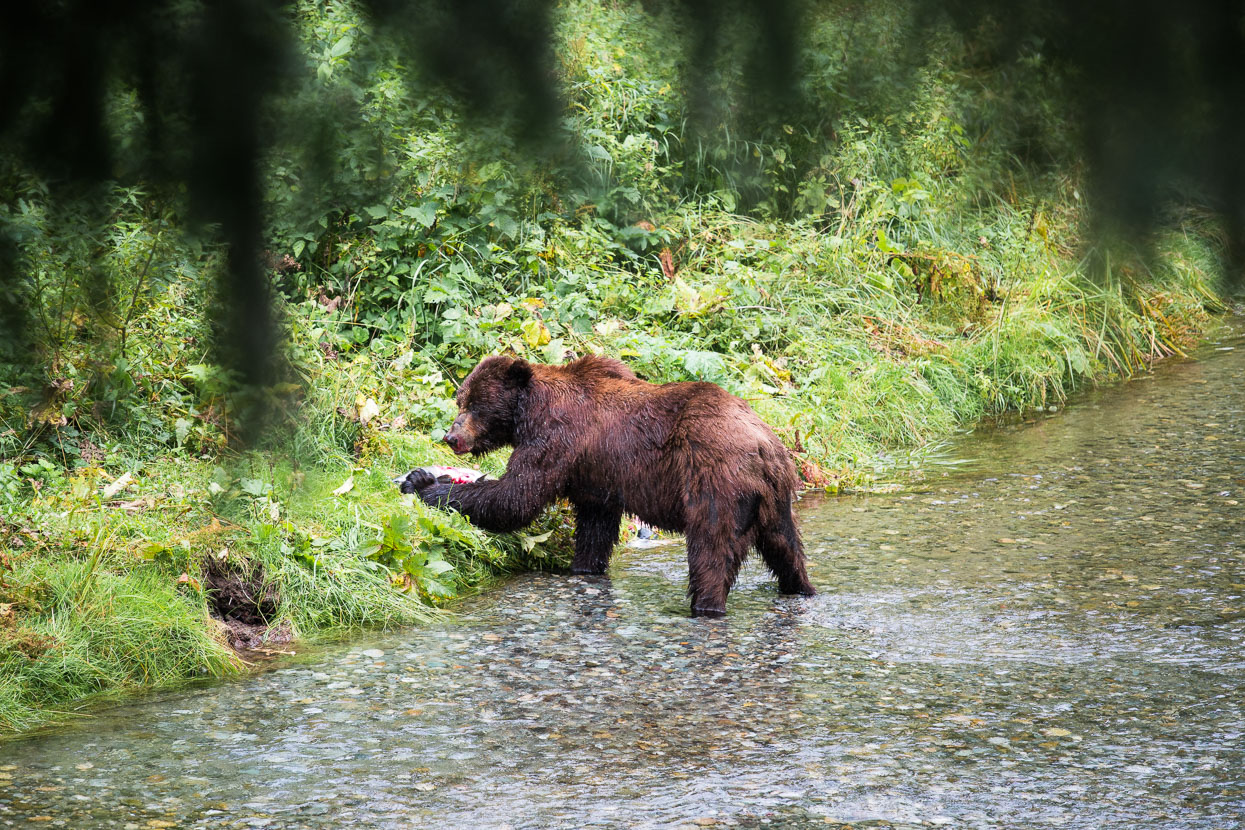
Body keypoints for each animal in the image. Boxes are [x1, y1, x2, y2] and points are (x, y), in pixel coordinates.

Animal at [400, 353, 816, 614]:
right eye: (460, 399)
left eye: (474, 405)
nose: (451, 437)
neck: (527, 413)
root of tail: (765, 445)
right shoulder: (596, 476)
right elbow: (594, 528)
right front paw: (583, 567)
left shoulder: (556, 438)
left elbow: (516, 496)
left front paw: (427, 484)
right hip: (776, 498)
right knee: (786, 549)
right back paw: (802, 589)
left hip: (715, 482)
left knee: (711, 551)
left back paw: (705, 605)